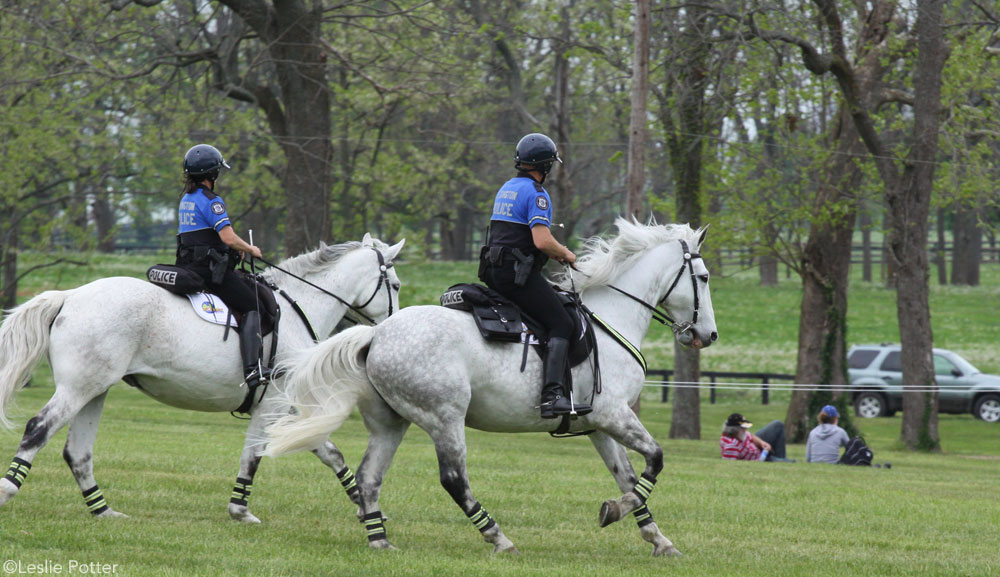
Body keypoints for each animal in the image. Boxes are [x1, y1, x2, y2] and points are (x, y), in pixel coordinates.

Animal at [1, 233, 406, 520]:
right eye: (397, 285)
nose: (391, 327)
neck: (300, 306)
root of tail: (71, 296)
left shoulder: (285, 408)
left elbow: (329, 452)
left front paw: (364, 504)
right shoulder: (272, 403)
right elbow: (253, 455)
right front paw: (240, 510)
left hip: (94, 390)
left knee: (77, 453)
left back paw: (103, 510)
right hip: (78, 388)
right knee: (38, 428)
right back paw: (8, 490)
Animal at [268, 219, 720, 552]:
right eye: (703, 277)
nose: (708, 335)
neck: (612, 318)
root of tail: (376, 334)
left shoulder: (599, 425)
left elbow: (628, 476)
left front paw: (655, 537)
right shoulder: (615, 416)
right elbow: (655, 460)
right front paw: (619, 512)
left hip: (391, 423)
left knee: (368, 478)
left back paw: (379, 539)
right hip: (445, 418)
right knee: (453, 479)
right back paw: (497, 536)